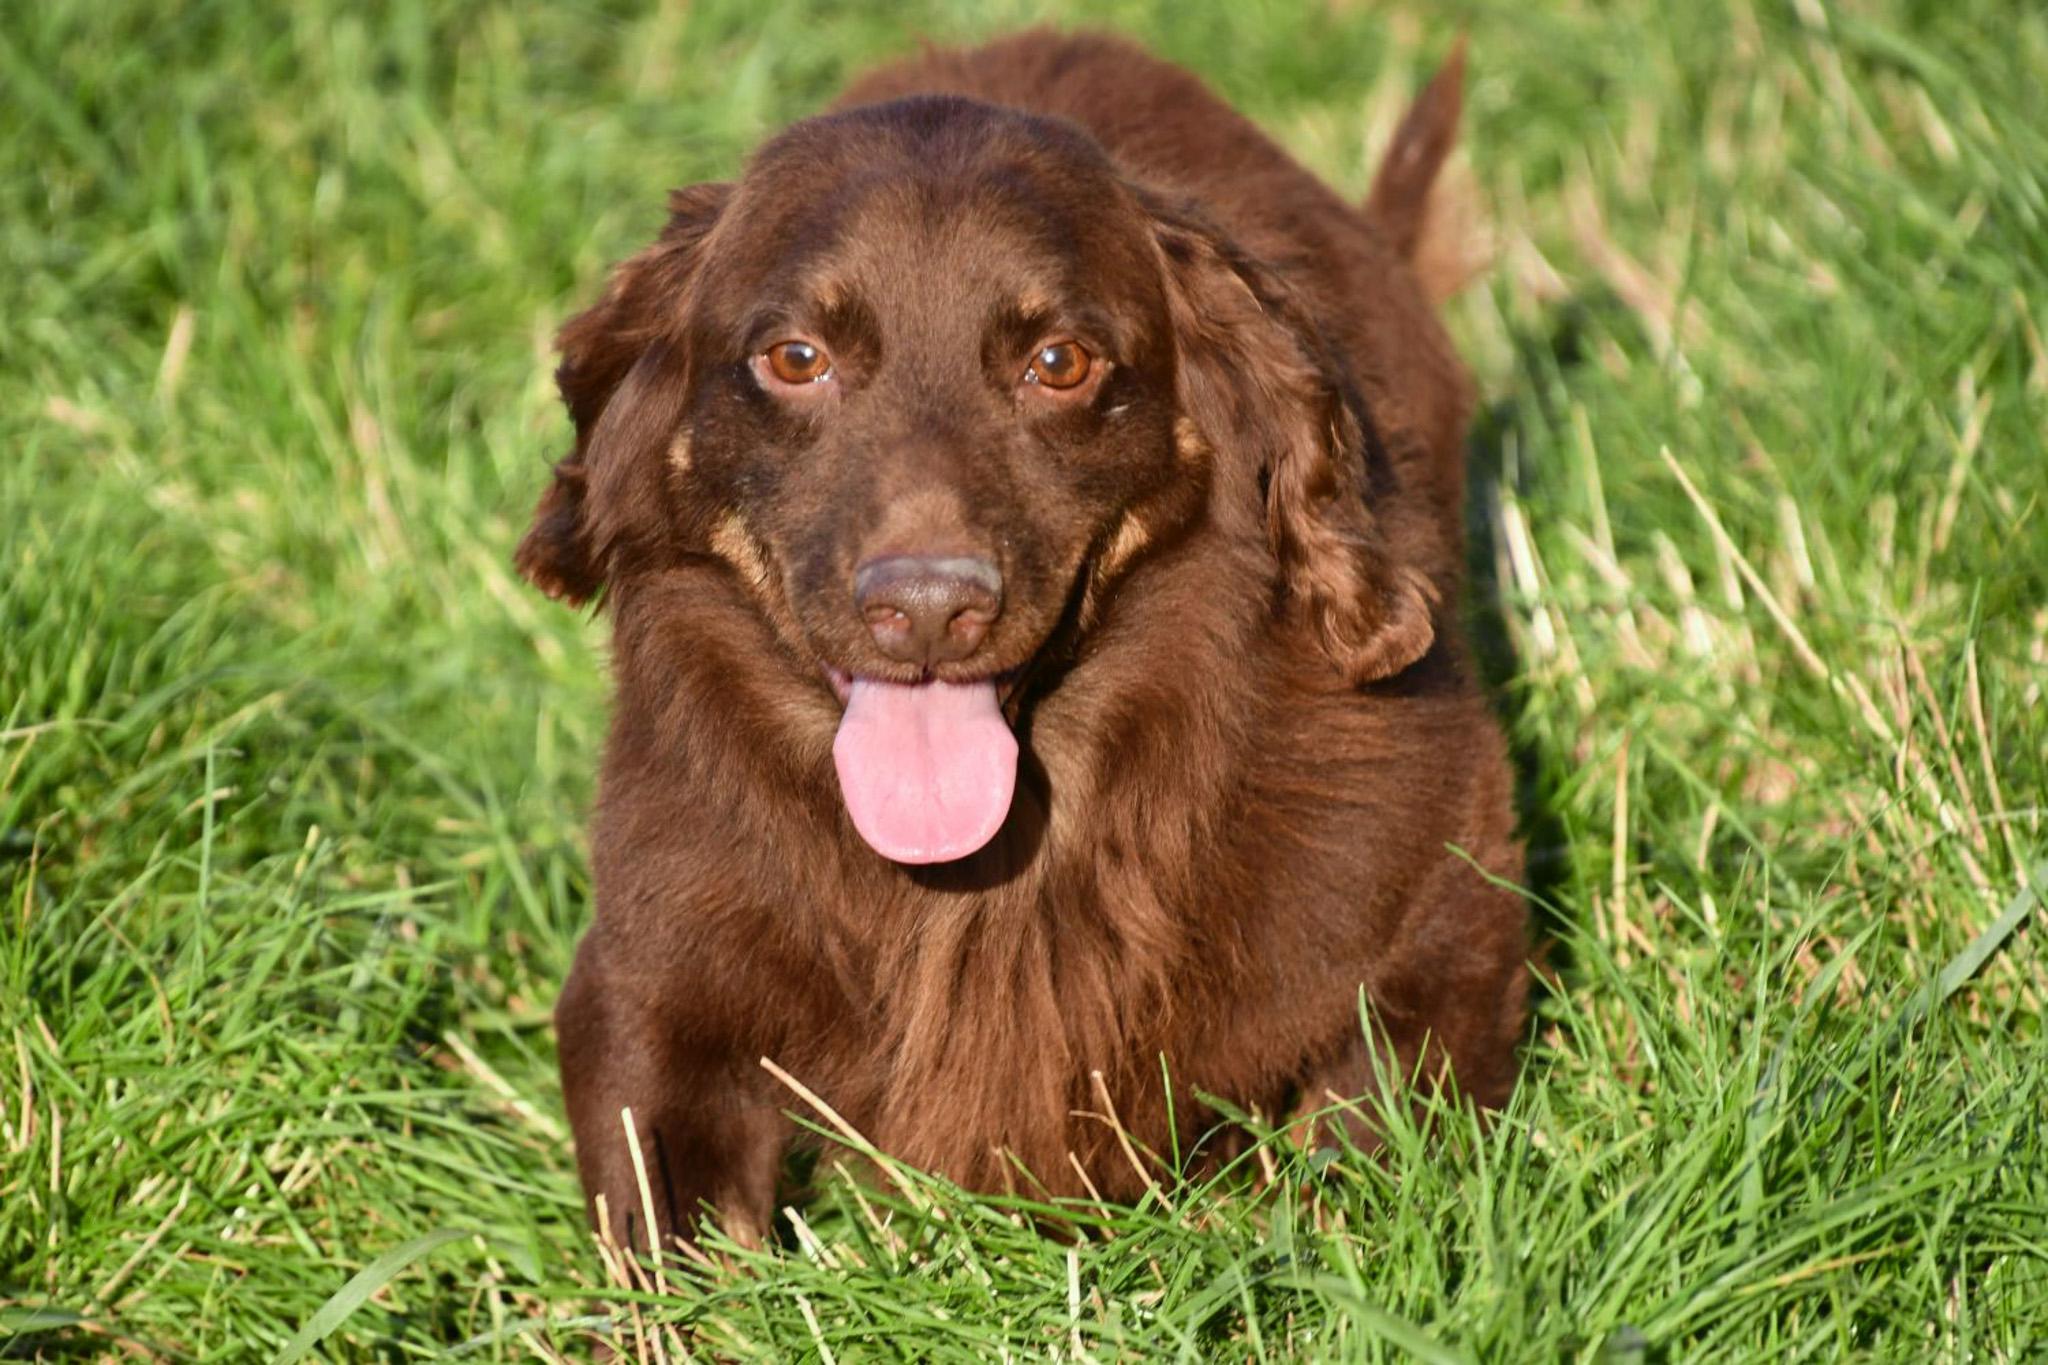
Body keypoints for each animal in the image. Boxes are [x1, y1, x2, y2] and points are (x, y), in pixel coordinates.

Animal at [520, 26, 1531, 1252]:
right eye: (795, 358)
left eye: (1060, 362)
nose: (925, 607)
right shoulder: (637, 985)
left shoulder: (1448, 905)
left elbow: (1354, 1167)